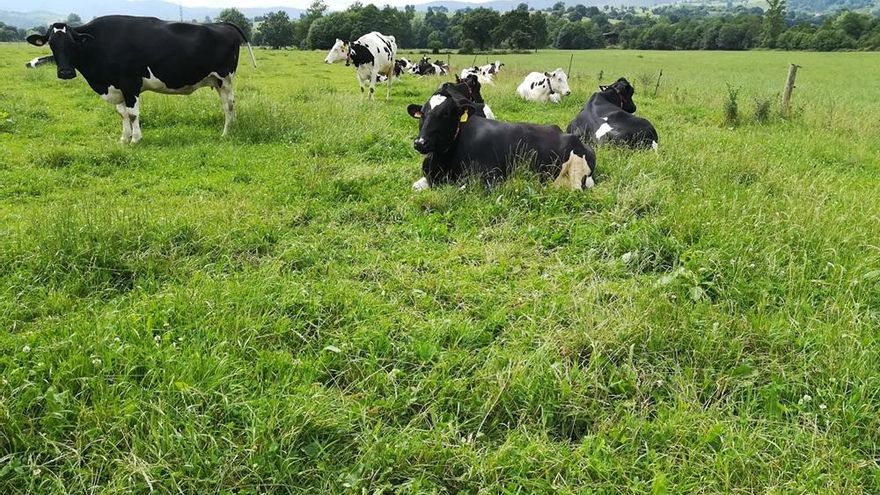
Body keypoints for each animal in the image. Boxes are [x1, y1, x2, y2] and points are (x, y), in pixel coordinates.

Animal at [26, 16, 256, 144]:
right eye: (52, 44)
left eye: (73, 44)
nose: (65, 72)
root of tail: (223, 24)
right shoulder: (117, 86)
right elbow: (122, 114)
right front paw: (124, 138)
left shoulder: (130, 83)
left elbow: (133, 113)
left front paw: (136, 139)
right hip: (217, 81)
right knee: (228, 105)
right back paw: (232, 129)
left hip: (225, 78)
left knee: (229, 105)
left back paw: (226, 133)